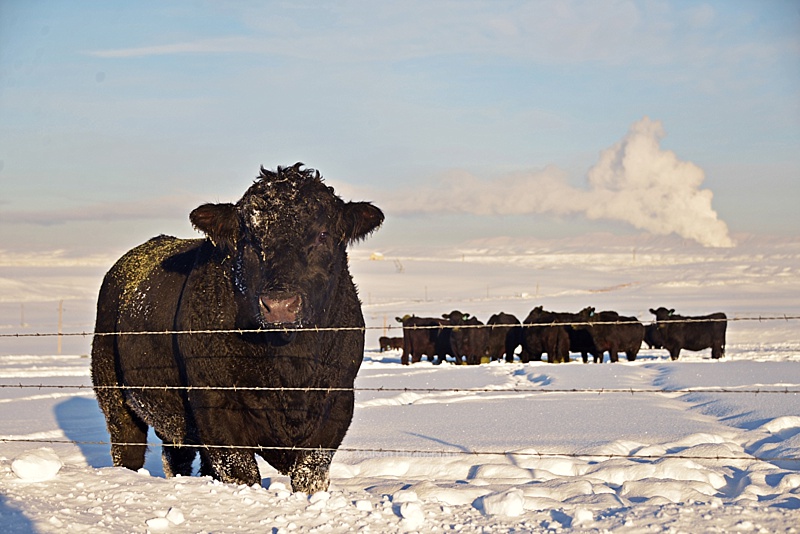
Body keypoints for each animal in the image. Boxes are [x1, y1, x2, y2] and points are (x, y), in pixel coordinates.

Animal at [91, 163, 383, 494]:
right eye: (249, 239)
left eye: (323, 234)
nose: (279, 305)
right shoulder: (215, 405)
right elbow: (242, 473)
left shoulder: (337, 401)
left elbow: (310, 473)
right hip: (113, 393)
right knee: (127, 446)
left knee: (178, 457)